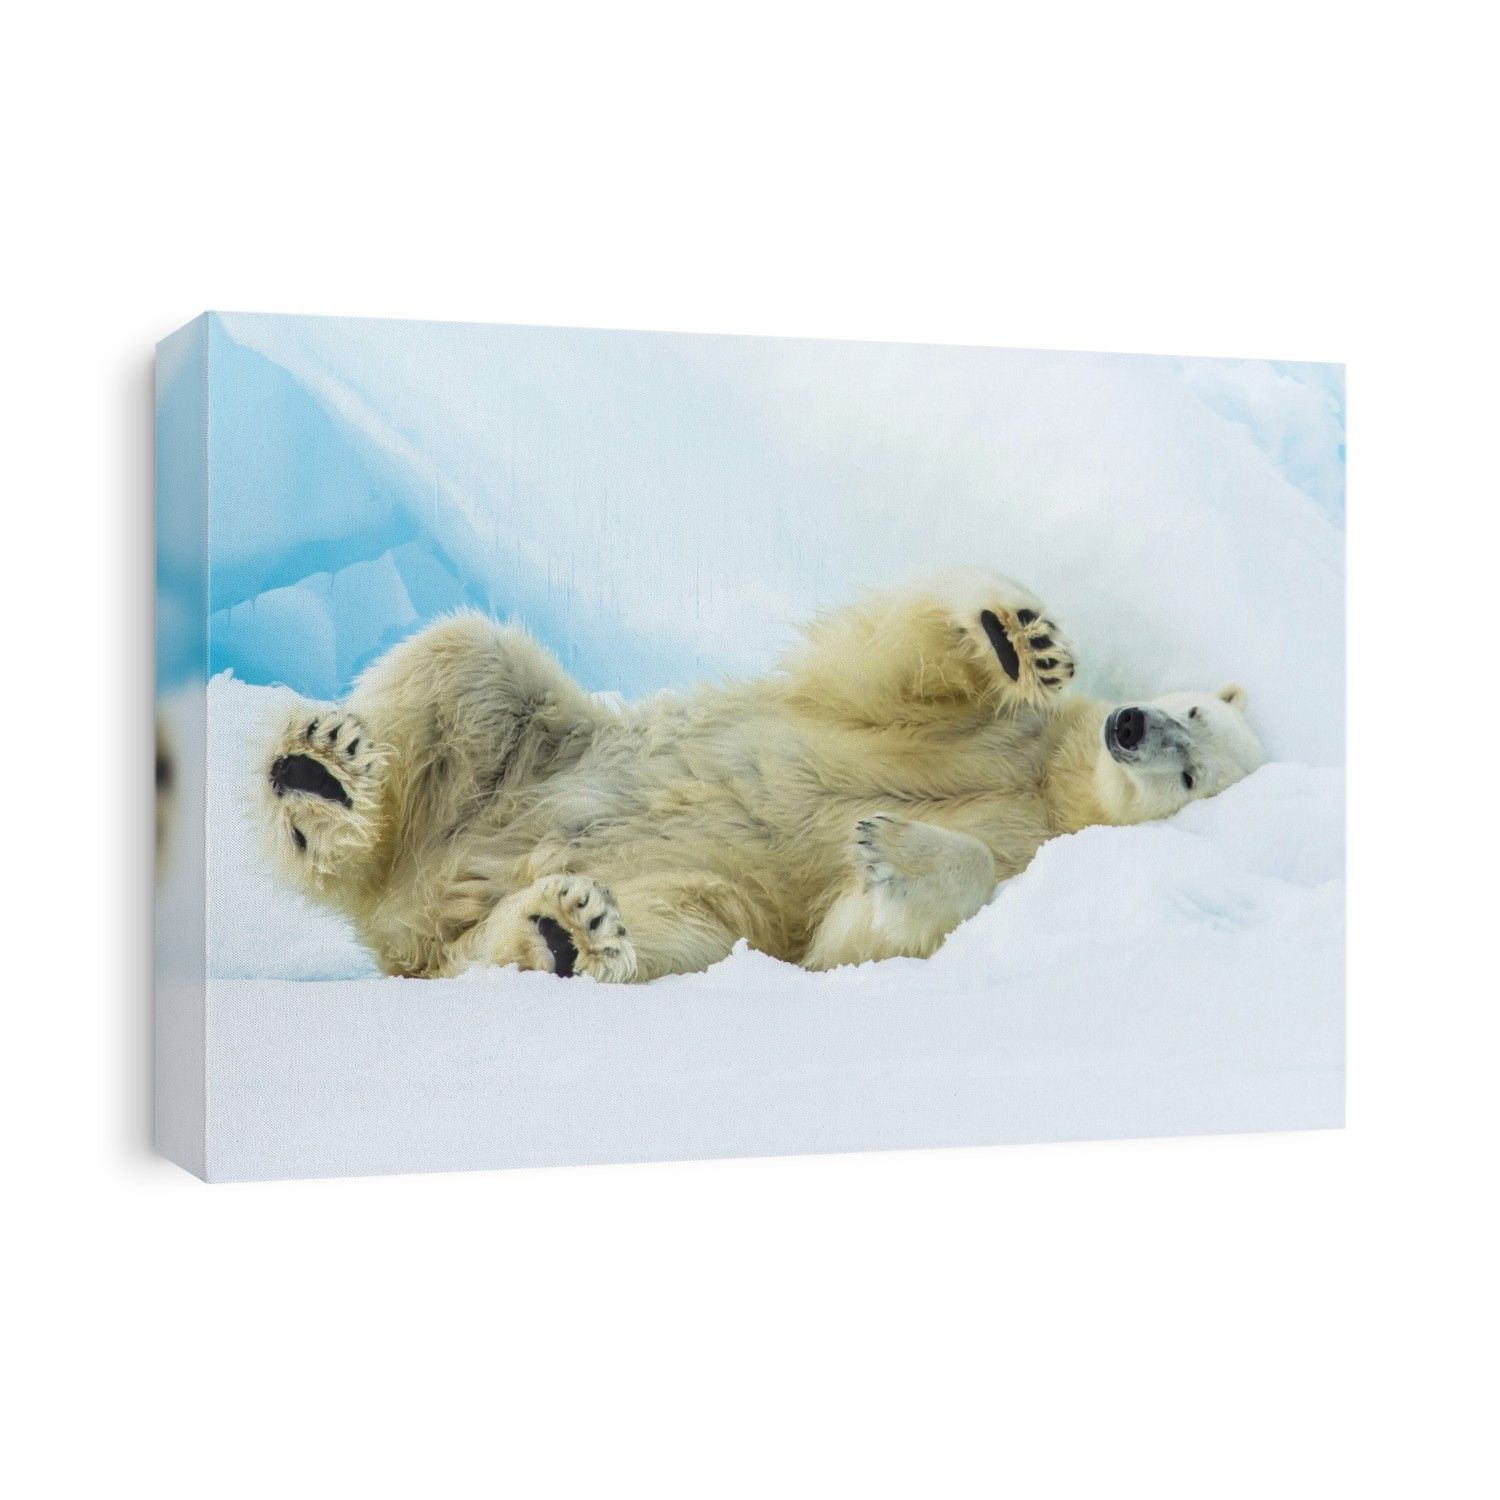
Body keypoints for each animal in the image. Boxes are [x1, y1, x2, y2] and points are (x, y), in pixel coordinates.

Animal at [255, 569, 1266, 981]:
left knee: (673, 931)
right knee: (469, 662)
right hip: (533, 760)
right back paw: (323, 778)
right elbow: (887, 670)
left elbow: (859, 932)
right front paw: (1022, 636)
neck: (1052, 786)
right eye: (1192, 710)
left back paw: (562, 933)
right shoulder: (985, 739)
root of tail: (417, 914)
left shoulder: (1029, 852)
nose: (1132, 727)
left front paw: (887, 845)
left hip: (687, 895)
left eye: (1192, 777)